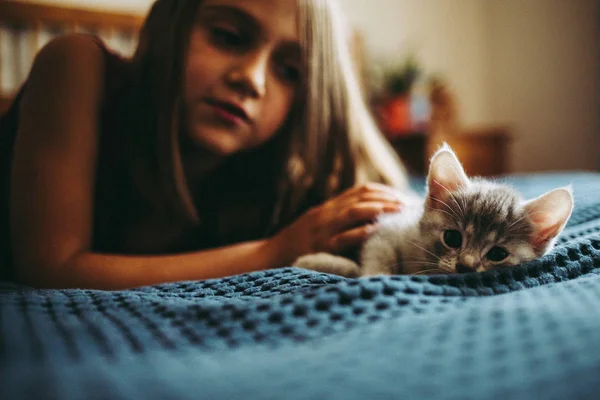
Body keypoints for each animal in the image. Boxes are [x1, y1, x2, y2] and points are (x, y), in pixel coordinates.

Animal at [292, 144, 576, 278]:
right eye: (452, 238)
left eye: (498, 254)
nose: (465, 266)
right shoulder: (387, 229)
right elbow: (376, 256)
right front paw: (375, 275)